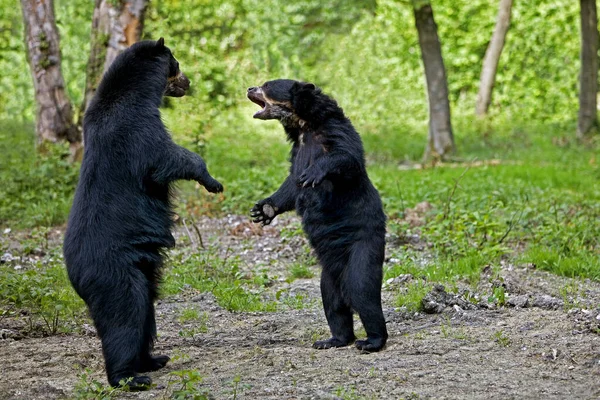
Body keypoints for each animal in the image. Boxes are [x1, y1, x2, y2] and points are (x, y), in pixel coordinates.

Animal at [63, 39, 223, 390]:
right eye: (177, 64)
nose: (187, 82)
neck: (134, 92)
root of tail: (73, 275)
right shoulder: (136, 130)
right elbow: (168, 156)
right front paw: (213, 181)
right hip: (115, 274)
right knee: (125, 316)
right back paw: (129, 376)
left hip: (140, 271)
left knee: (146, 316)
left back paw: (153, 359)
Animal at [248, 79, 390, 352]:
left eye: (267, 85)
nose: (249, 88)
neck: (304, 127)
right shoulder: (297, 150)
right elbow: (291, 184)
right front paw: (263, 209)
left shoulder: (334, 131)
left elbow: (347, 156)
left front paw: (314, 173)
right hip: (328, 275)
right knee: (333, 303)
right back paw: (333, 339)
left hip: (363, 246)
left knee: (363, 292)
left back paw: (371, 341)